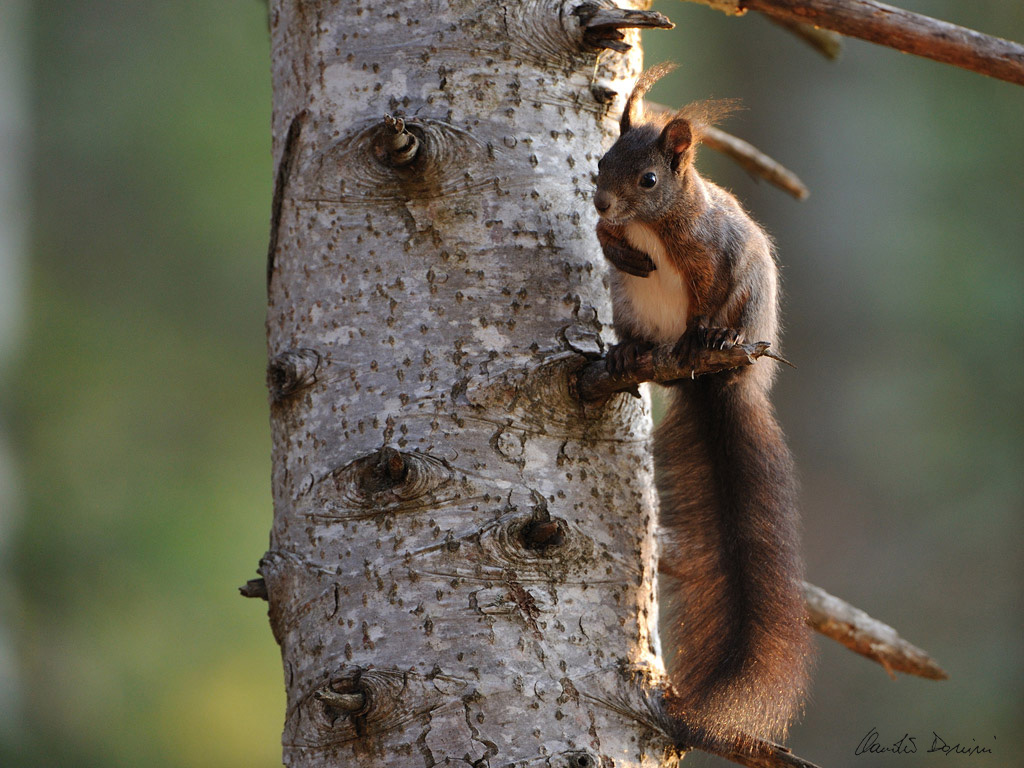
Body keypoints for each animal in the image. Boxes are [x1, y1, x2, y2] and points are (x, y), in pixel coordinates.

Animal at [594, 63, 812, 751]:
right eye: (600, 162)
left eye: (649, 179)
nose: (600, 202)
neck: (653, 224)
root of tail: (713, 386)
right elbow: (606, 245)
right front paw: (620, 247)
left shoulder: (714, 253)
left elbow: (713, 287)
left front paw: (704, 330)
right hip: (629, 308)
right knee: (637, 334)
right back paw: (629, 353)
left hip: (749, 312)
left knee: (722, 324)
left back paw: (704, 345)